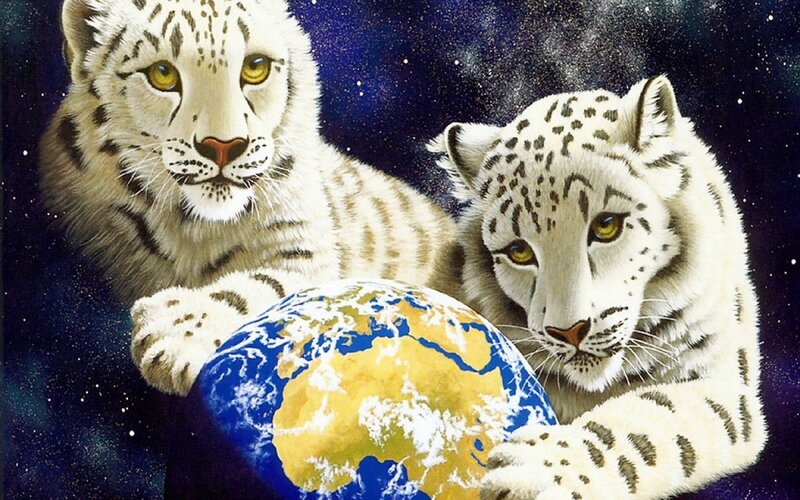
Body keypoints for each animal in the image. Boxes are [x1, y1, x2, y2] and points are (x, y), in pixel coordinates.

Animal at [40, 0, 453, 396]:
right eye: (162, 74)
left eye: (255, 67)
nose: (224, 146)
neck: (191, 227)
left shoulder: (303, 247)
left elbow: (269, 284)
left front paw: (173, 333)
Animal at [427, 76, 766, 498]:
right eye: (519, 250)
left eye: (606, 225)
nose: (569, 331)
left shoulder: (720, 380)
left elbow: (647, 415)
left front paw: (533, 471)